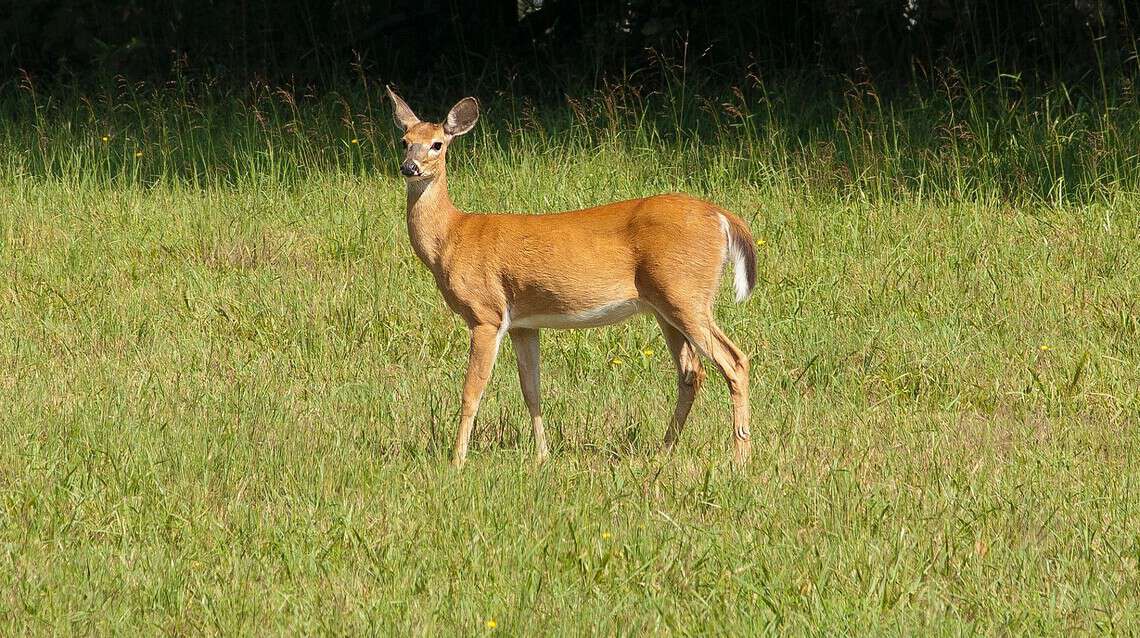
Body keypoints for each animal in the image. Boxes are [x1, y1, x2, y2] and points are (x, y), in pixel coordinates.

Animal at [385, 87, 756, 469]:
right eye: (404, 141)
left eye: (437, 144)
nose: (409, 167)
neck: (451, 236)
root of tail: (722, 217)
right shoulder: (522, 323)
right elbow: (531, 389)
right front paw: (542, 456)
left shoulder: (485, 313)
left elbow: (472, 391)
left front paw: (457, 461)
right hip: (665, 306)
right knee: (691, 372)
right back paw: (663, 451)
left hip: (686, 293)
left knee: (735, 361)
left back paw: (740, 458)